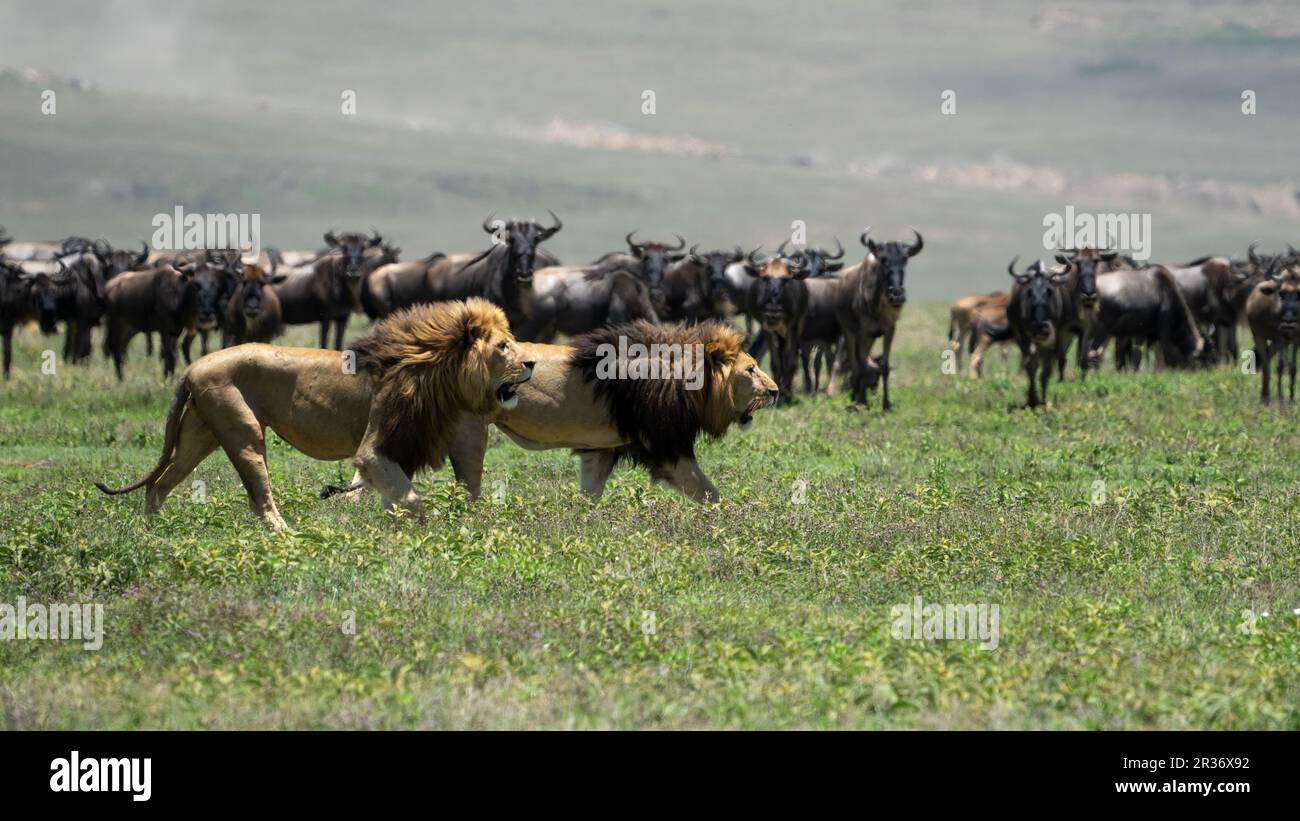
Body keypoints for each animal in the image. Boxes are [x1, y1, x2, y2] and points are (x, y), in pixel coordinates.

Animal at [94, 298, 533, 530]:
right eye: (503, 347)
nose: (531, 363)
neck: (435, 369)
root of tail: (193, 366)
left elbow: (401, 495)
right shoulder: (374, 448)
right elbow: (410, 498)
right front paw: (419, 531)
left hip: (198, 435)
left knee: (159, 483)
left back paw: (153, 530)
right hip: (243, 431)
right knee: (259, 499)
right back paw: (286, 536)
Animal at [330, 319, 774, 501]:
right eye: (751, 369)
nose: (774, 390)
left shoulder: (603, 448)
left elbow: (590, 492)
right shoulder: (665, 446)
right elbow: (709, 492)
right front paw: (733, 517)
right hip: (468, 430)